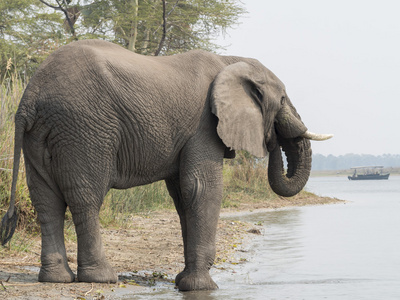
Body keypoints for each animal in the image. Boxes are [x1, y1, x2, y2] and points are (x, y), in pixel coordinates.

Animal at [0, 39, 332, 290]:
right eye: (283, 99)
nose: (273, 138)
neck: (230, 61)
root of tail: (30, 97)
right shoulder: (203, 125)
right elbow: (201, 188)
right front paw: (202, 287)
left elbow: (183, 194)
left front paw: (183, 281)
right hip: (84, 129)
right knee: (86, 198)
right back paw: (102, 278)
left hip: (42, 135)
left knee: (46, 200)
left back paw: (56, 280)